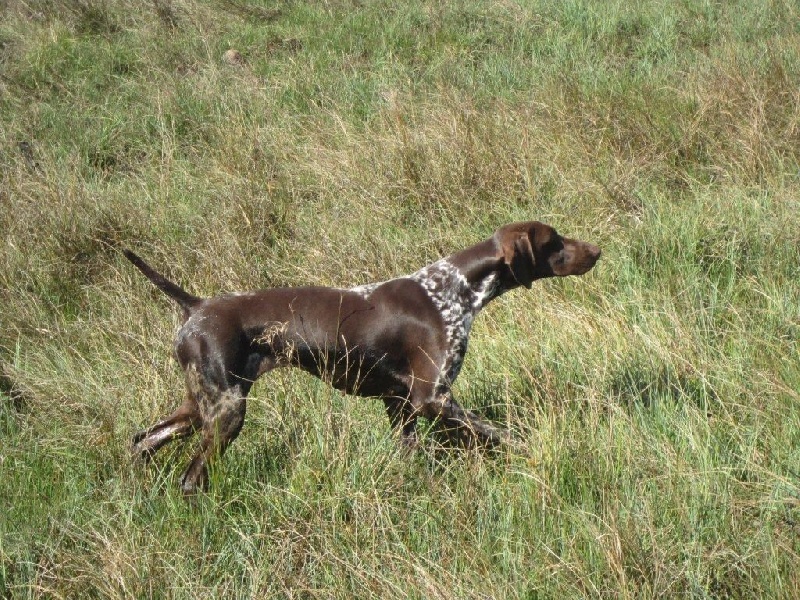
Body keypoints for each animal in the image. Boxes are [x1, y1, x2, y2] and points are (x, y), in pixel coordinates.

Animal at [125, 220, 600, 492]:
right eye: (555, 241)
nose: (597, 251)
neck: (455, 289)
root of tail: (196, 306)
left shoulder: (400, 405)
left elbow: (413, 458)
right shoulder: (433, 399)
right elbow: (499, 435)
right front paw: (535, 451)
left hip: (199, 407)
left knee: (142, 441)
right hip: (227, 412)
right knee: (190, 479)